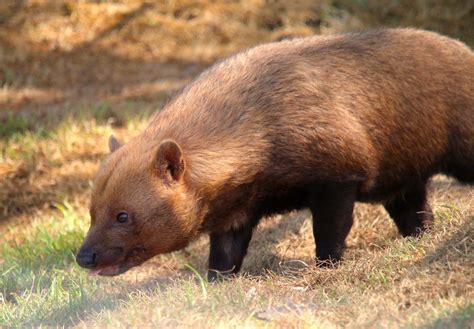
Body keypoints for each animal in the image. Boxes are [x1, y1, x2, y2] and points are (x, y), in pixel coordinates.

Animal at [76, 27, 472, 280]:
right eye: (93, 211)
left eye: (123, 216)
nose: (83, 256)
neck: (259, 125)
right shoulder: (235, 215)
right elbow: (224, 257)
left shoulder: (337, 178)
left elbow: (329, 235)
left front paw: (326, 270)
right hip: (404, 184)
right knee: (418, 218)